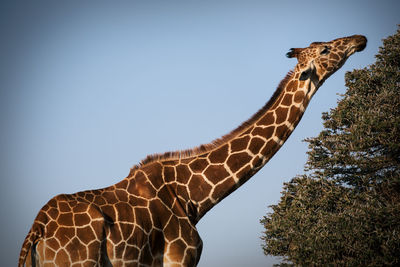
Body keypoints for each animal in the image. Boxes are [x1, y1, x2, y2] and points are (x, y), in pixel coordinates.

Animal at [20, 34, 368, 266]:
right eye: (325, 49)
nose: (360, 39)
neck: (194, 198)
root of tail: (37, 231)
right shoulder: (179, 258)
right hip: (77, 262)